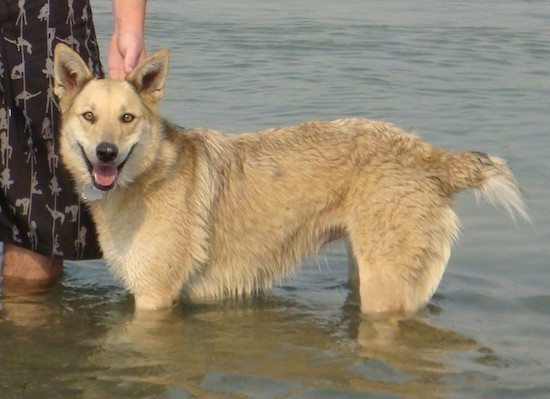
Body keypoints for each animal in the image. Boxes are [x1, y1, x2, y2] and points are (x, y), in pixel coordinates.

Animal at [52, 43, 532, 318]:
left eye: (127, 118)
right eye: (89, 117)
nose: (106, 153)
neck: (148, 175)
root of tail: (430, 156)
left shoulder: (153, 299)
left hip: (385, 289)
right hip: (365, 274)